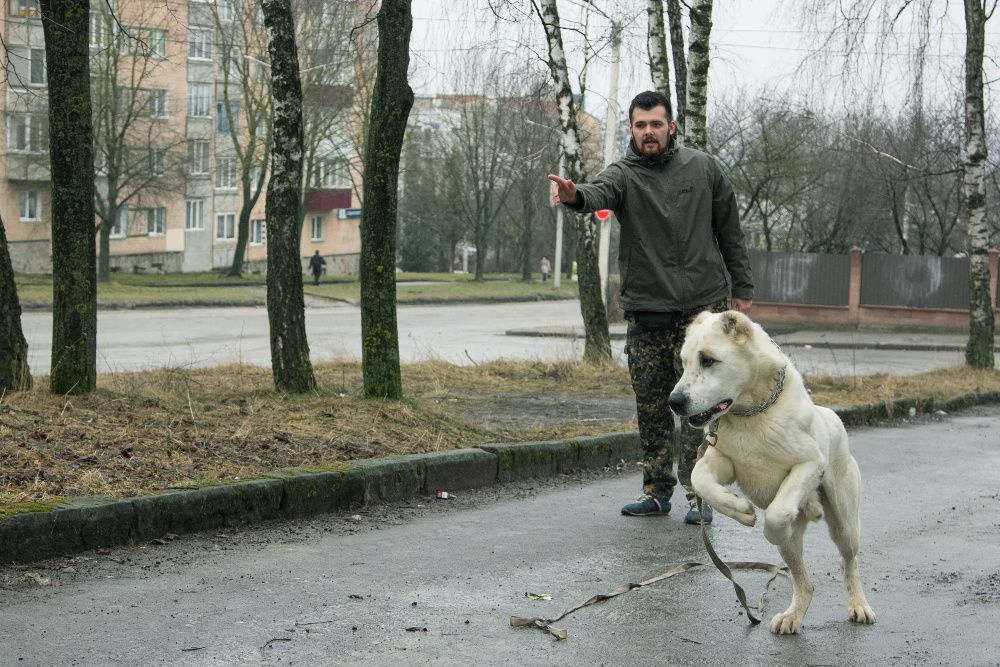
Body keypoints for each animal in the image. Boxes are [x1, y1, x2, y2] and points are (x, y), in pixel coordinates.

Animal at [672, 310, 876, 636]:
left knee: (849, 563)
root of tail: (831, 415)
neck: (752, 414)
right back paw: (792, 616)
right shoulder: (722, 460)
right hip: (794, 549)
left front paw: (769, 527)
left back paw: (859, 606)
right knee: (805, 583)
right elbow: (699, 479)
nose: (674, 402)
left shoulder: (810, 463)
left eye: (708, 360)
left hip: (844, 525)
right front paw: (741, 510)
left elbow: (777, 513)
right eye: (684, 361)